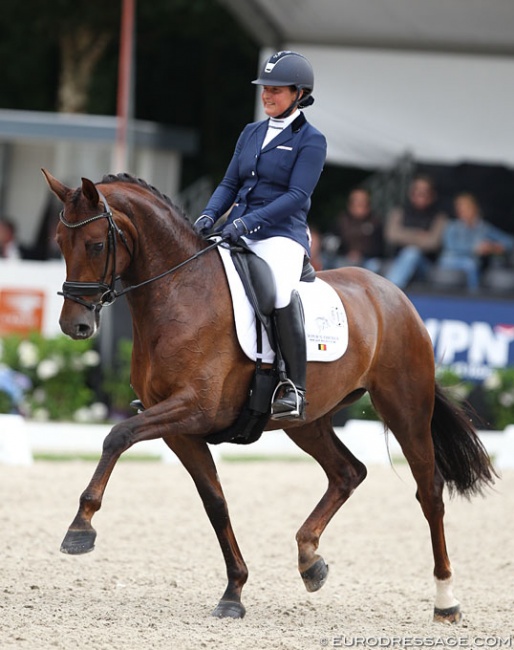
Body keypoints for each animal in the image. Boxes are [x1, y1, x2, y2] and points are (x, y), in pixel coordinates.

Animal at [42, 170, 494, 620]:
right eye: (59, 243)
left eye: (96, 244)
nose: (74, 325)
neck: (179, 291)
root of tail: (394, 294)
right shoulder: (179, 428)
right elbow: (215, 502)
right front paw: (233, 592)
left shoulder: (194, 409)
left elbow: (117, 435)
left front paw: (80, 527)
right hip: (307, 421)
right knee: (348, 473)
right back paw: (310, 560)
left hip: (405, 409)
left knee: (429, 491)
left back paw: (446, 601)